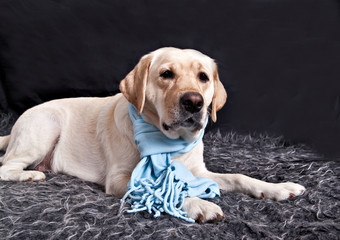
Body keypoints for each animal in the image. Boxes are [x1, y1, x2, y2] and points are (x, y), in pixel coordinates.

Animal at [0, 47, 306, 223]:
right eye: (166, 74)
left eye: (203, 77)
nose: (194, 102)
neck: (170, 143)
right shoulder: (122, 178)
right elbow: (159, 189)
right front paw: (199, 204)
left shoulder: (198, 171)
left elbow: (239, 177)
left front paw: (277, 188)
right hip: (47, 125)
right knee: (6, 166)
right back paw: (30, 175)